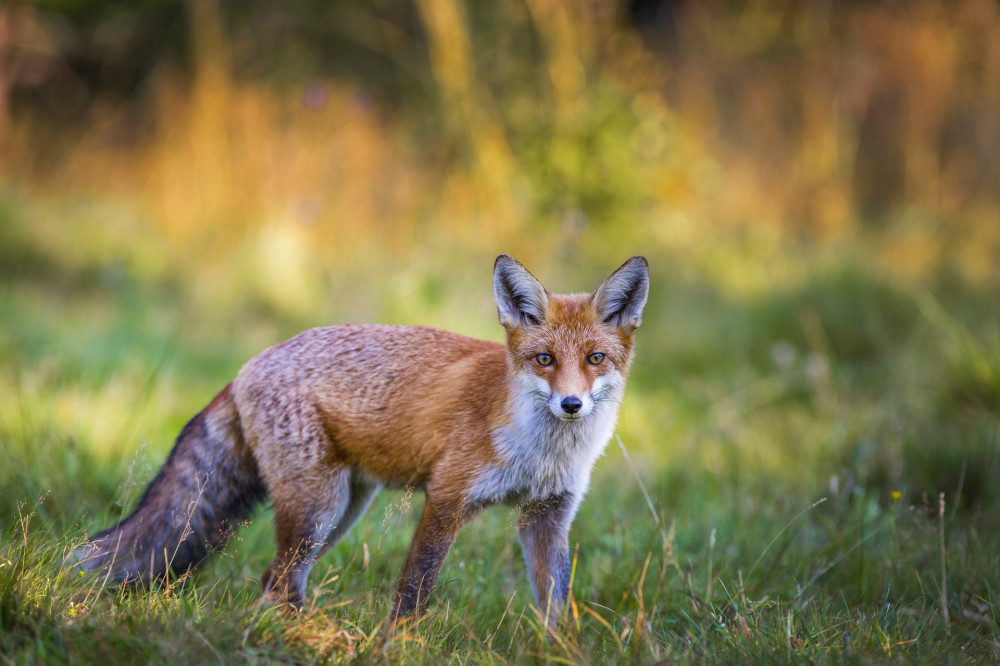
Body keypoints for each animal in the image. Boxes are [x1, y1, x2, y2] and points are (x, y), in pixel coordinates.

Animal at [70, 254, 648, 628]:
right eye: (544, 359)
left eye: (595, 359)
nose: (571, 404)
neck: (541, 454)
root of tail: (248, 364)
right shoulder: (446, 499)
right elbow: (414, 592)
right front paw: (401, 646)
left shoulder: (547, 517)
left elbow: (556, 606)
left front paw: (559, 652)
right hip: (318, 510)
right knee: (278, 582)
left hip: (340, 513)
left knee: (272, 581)